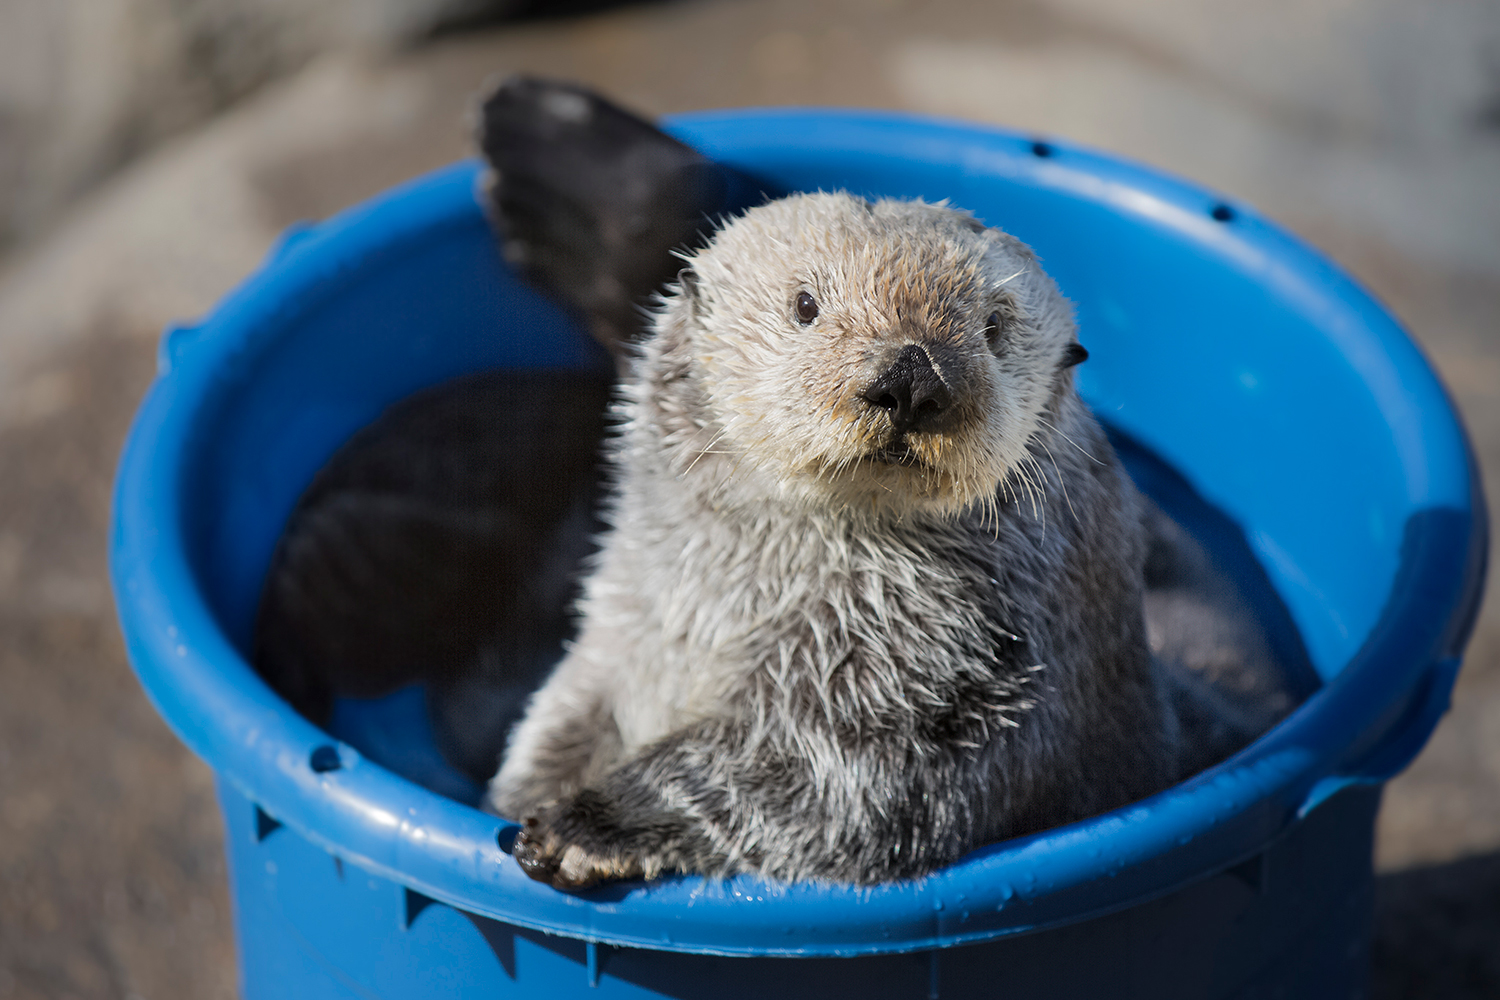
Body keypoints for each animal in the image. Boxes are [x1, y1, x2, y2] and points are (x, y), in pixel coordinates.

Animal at [489, 191, 1242, 889]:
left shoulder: (947, 685)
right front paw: (525, 791)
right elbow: (575, 700)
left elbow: (822, 785)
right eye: (804, 304)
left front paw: (584, 824)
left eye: (995, 326)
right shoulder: (631, 613)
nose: (911, 379)